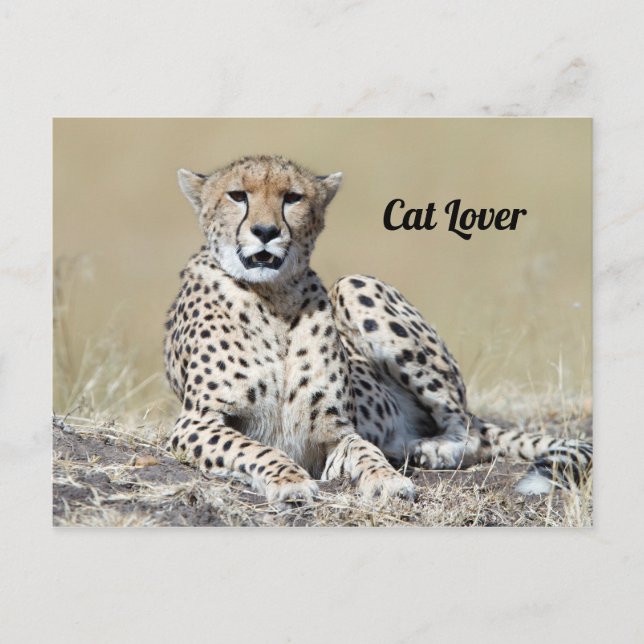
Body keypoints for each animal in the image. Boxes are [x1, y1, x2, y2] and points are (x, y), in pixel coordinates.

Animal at [164, 155, 592, 504]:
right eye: (237, 196)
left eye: (292, 198)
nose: (266, 231)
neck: (274, 298)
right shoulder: (195, 422)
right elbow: (255, 448)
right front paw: (289, 481)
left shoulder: (338, 432)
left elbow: (365, 450)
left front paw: (386, 479)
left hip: (355, 285)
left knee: (469, 429)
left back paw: (435, 449)